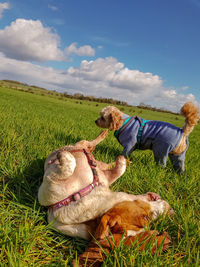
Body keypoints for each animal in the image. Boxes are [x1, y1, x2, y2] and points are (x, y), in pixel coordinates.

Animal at [38, 131, 172, 240]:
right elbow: (69, 166)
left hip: (97, 161)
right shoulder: (46, 192)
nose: (170, 209)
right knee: (88, 145)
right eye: (145, 217)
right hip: (84, 147)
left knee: (94, 152)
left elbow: (118, 170)